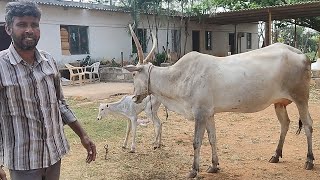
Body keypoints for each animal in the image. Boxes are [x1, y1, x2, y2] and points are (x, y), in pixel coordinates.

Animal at [124, 24, 314, 178]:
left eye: (133, 74)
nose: (135, 97)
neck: (179, 76)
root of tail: (302, 55)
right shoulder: (209, 114)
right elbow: (212, 138)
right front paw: (214, 166)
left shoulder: (200, 114)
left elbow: (197, 142)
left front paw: (193, 170)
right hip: (279, 102)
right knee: (285, 124)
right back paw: (275, 155)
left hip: (301, 98)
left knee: (308, 125)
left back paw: (309, 160)